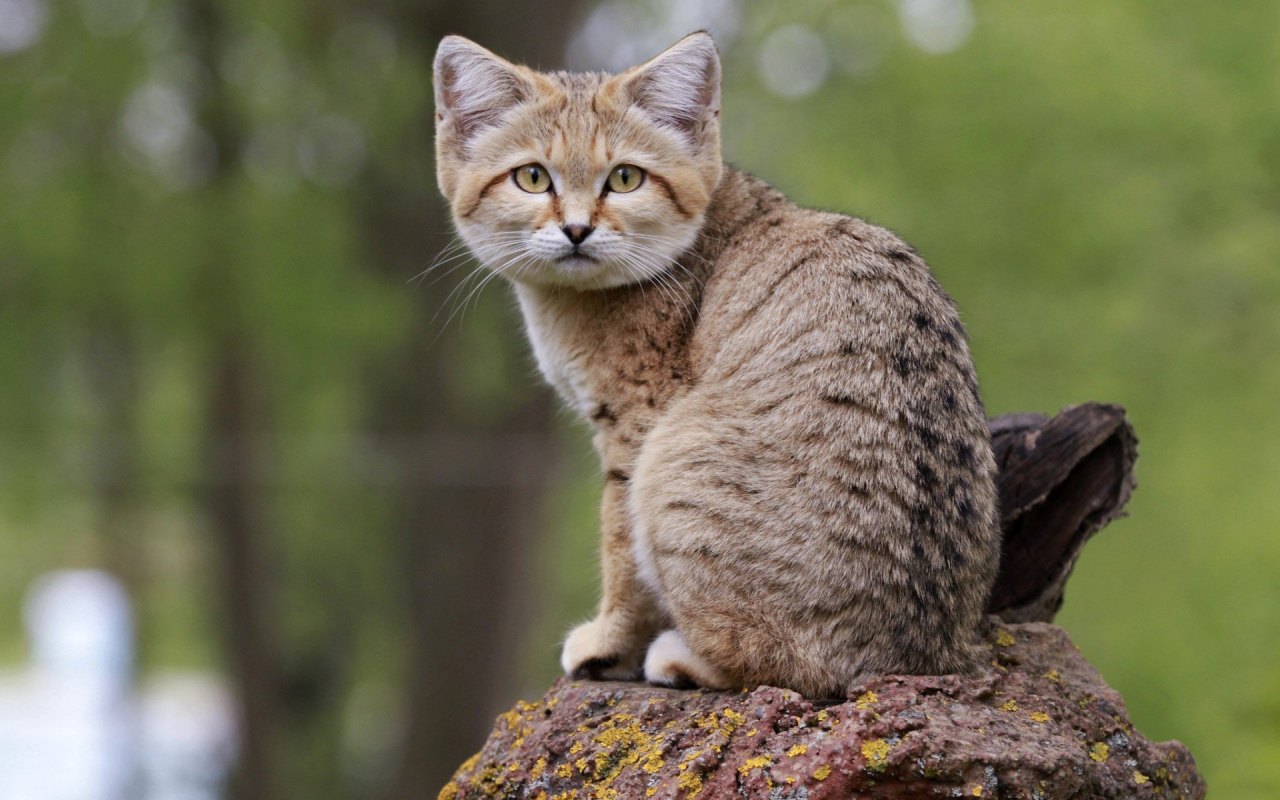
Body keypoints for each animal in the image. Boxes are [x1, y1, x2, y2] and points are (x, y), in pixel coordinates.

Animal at [435, 28, 1003, 696]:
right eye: (531, 178)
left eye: (624, 179)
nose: (576, 230)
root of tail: (920, 656)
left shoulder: (635, 424)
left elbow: (621, 553)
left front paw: (609, 642)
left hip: (671, 464)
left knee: (777, 663)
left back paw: (680, 657)